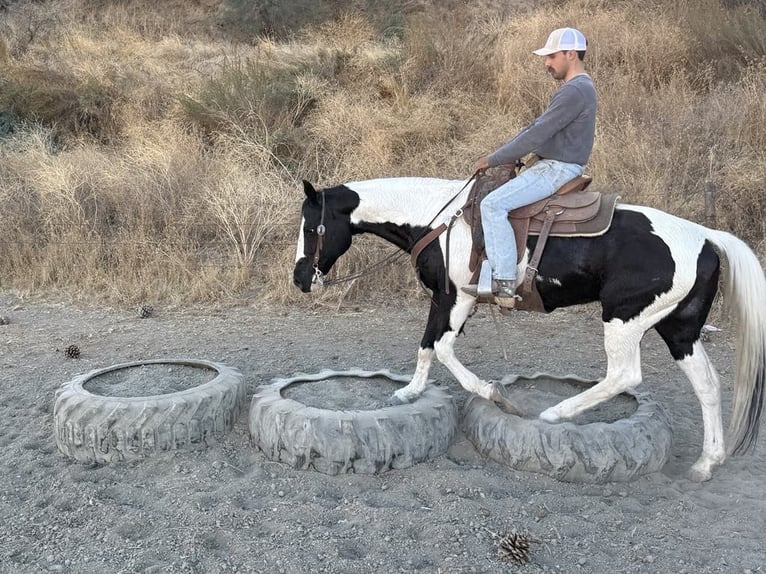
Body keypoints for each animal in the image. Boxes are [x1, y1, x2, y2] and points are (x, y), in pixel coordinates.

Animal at [292, 176, 766, 481]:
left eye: (312, 227)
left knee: (624, 374)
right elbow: (427, 345)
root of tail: (705, 236)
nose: (299, 279)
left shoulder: (457, 298)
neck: (437, 221)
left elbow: (442, 347)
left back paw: (557, 413)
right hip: (677, 329)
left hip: (624, 318)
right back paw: (708, 462)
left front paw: (494, 394)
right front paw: (409, 393)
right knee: (707, 385)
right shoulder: (443, 298)